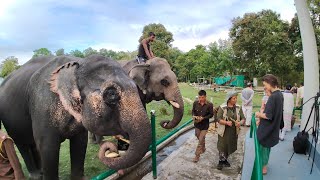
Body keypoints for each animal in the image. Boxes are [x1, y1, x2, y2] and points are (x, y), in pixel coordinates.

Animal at [0, 55, 151, 180]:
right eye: (111, 94)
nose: (113, 148)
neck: (78, 64)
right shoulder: (42, 107)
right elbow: (47, 147)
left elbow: (80, 144)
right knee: (22, 144)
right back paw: (36, 175)